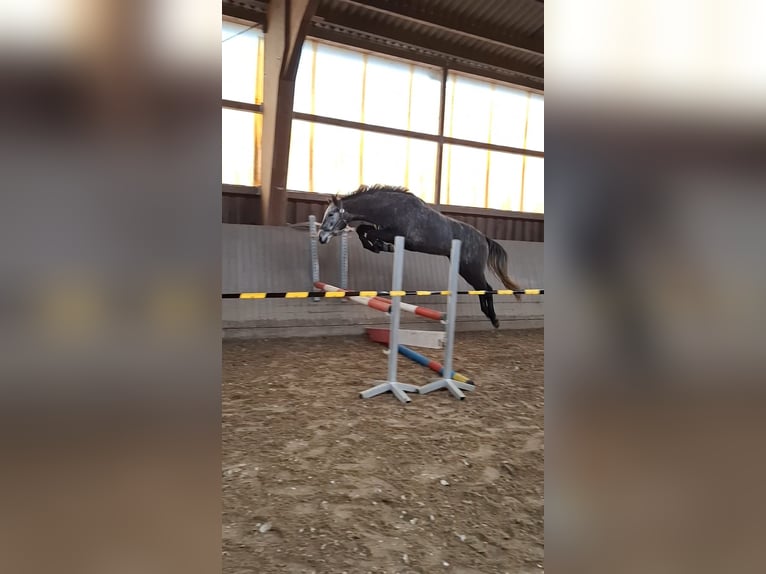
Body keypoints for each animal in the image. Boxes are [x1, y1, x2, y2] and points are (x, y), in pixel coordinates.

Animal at [317, 184, 522, 328]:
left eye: (331, 215)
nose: (321, 237)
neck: (392, 208)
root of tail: (483, 239)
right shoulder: (383, 230)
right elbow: (363, 229)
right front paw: (380, 247)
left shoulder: (396, 234)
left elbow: (367, 232)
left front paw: (382, 246)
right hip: (465, 269)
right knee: (481, 289)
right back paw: (488, 316)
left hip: (471, 269)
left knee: (486, 288)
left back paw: (494, 319)